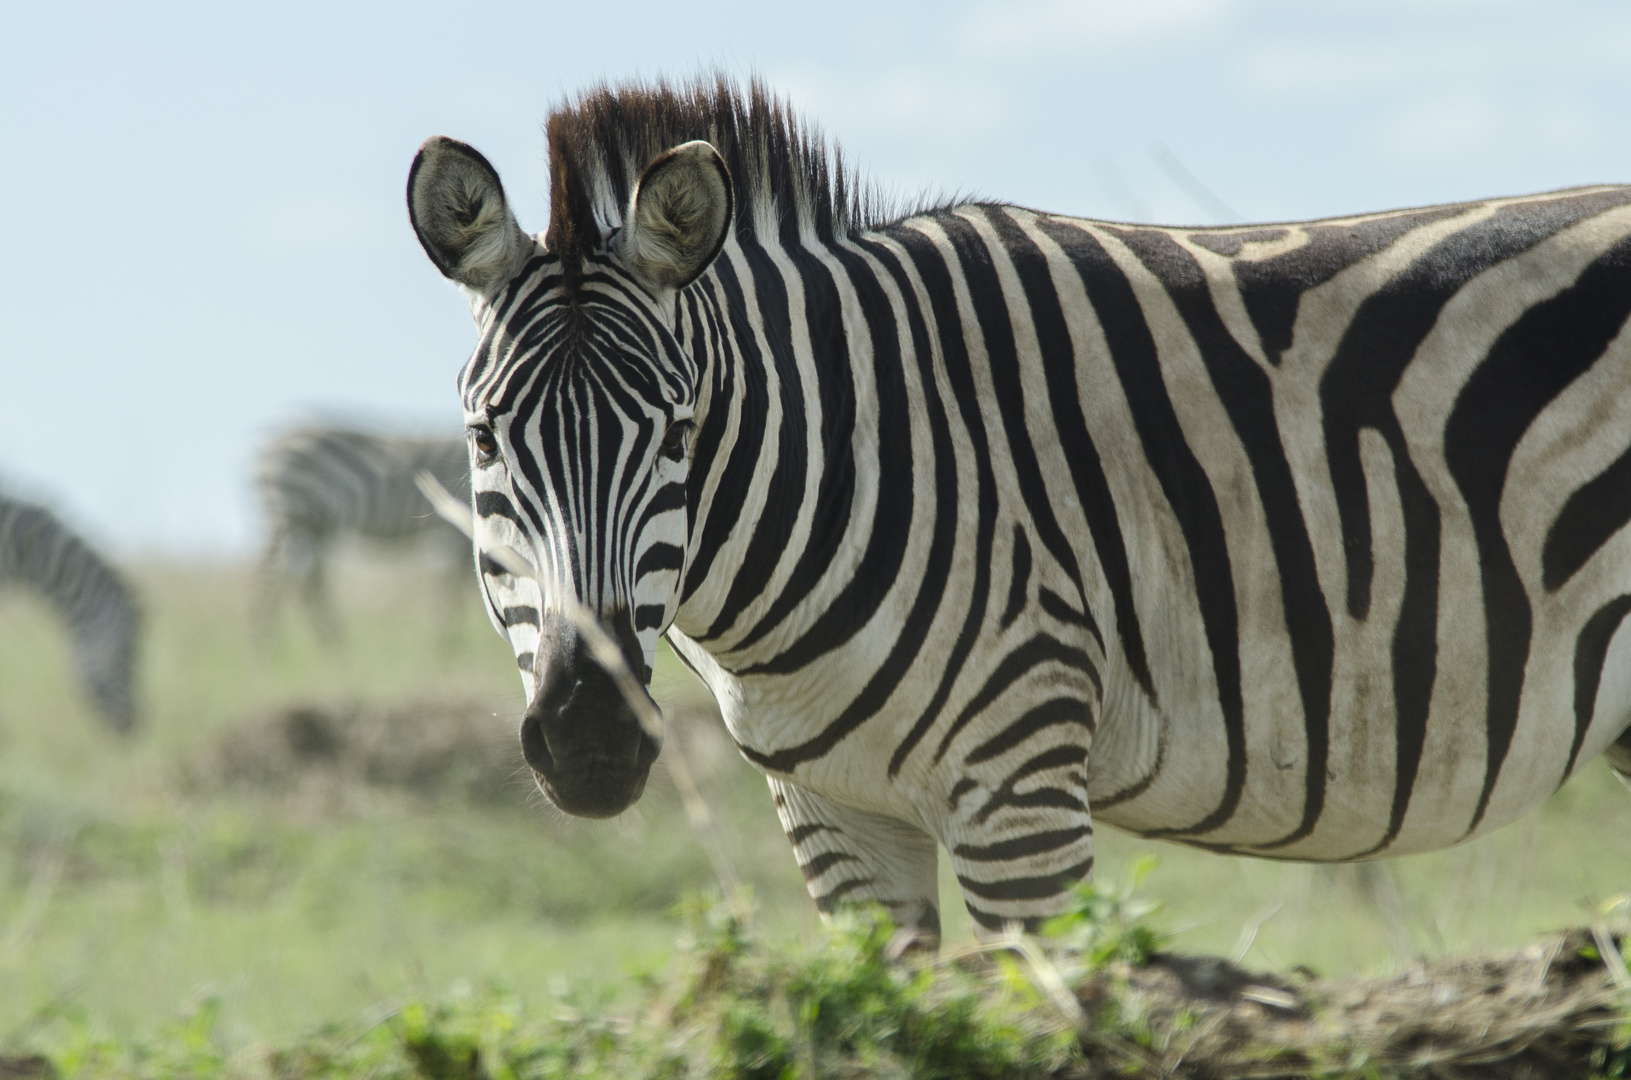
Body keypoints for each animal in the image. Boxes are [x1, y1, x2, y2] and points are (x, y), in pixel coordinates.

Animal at [254, 424, 472, 642]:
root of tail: (266, 453)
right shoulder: (461, 533)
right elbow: (457, 591)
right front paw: (445, 638)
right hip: (294, 515)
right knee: (271, 577)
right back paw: (262, 640)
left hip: (313, 524)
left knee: (307, 581)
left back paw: (330, 639)